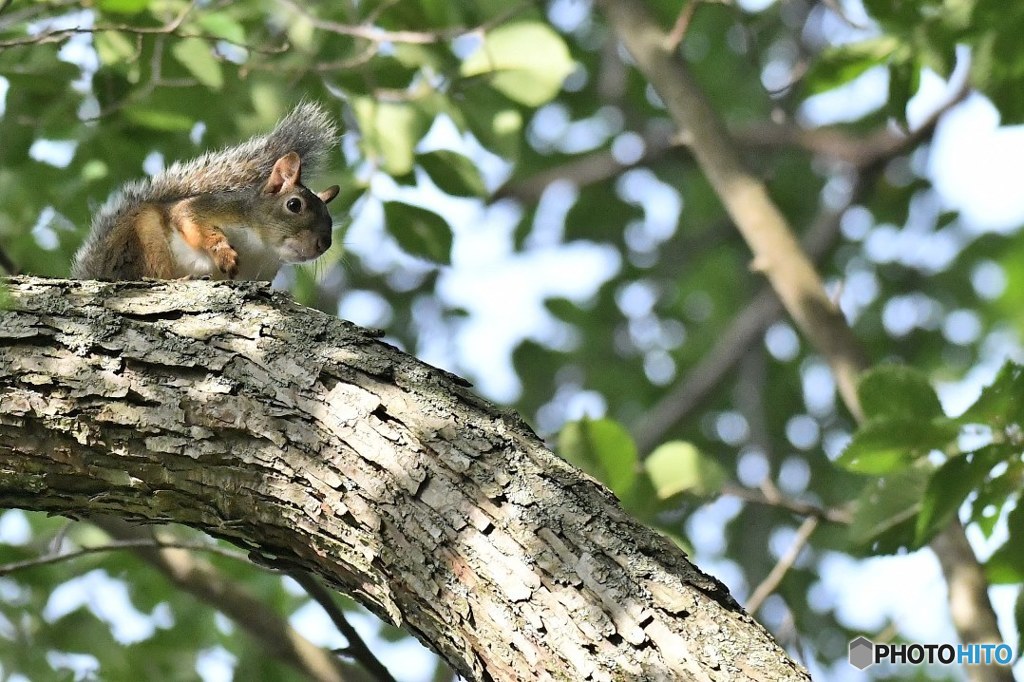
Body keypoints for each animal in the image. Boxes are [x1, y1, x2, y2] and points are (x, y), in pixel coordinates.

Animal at [74, 100, 344, 278]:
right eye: (294, 204)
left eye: (330, 218)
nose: (324, 243)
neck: (261, 249)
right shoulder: (209, 207)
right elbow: (191, 220)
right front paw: (223, 253)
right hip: (146, 241)